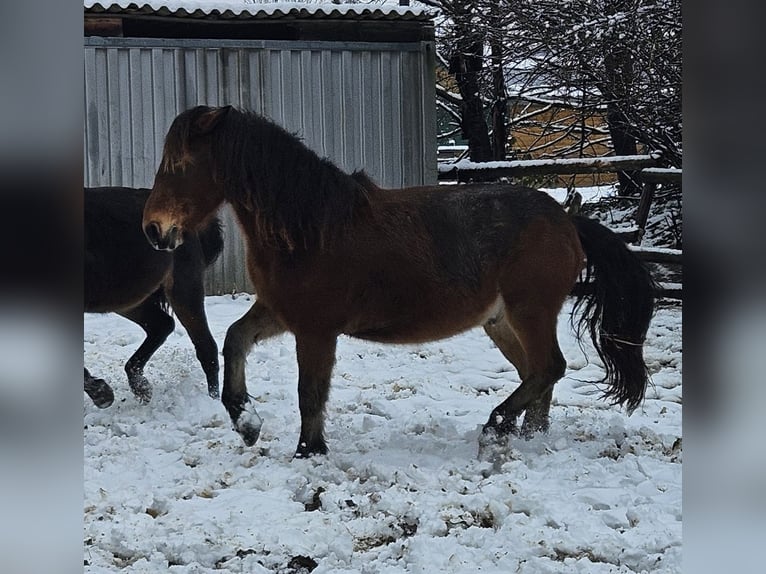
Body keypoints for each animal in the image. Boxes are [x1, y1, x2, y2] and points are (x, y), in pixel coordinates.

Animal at [88, 189, 225, 410]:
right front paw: (101, 393)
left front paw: (101, 394)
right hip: (127, 298)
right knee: (162, 325)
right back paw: (140, 387)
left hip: (183, 289)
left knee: (206, 346)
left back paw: (214, 404)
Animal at [144, 107, 660, 460]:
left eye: (180, 164)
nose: (153, 229)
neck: (311, 227)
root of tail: (568, 221)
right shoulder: (279, 310)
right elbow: (235, 339)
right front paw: (245, 420)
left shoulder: (315, 329)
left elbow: (310, 391)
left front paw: (309, 451)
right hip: (501, 322)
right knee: (537, 374)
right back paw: (526, 436)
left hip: (529, 311)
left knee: (548, 367)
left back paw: (495, 427)